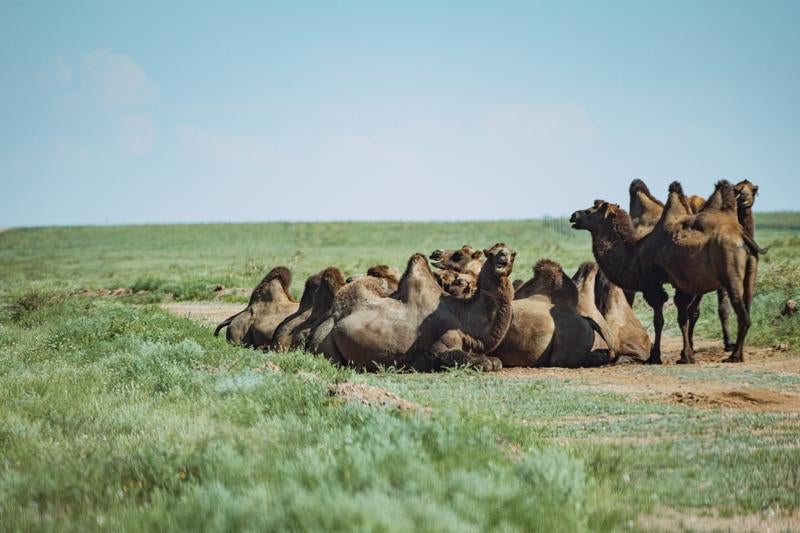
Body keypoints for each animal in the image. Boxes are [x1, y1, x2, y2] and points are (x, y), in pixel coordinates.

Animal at [326, 244, 520, 370]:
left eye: (513, 254)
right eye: (491, 253)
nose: (503, 256)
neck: (462, 318)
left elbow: (496, 361)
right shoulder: (439, 347)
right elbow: (477, 361)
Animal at [572, 181, 760, 364]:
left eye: (589, 210)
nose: (574, 215)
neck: (635, 252)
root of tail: (742, 236)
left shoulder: (652, 285)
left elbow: (659, 320)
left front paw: (655, 357)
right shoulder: (683, 284)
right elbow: (683, 317)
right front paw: (686, 356)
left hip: (730, 273)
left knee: (742, 314)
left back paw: (735, 356)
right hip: (750, 272)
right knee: (747, 307)